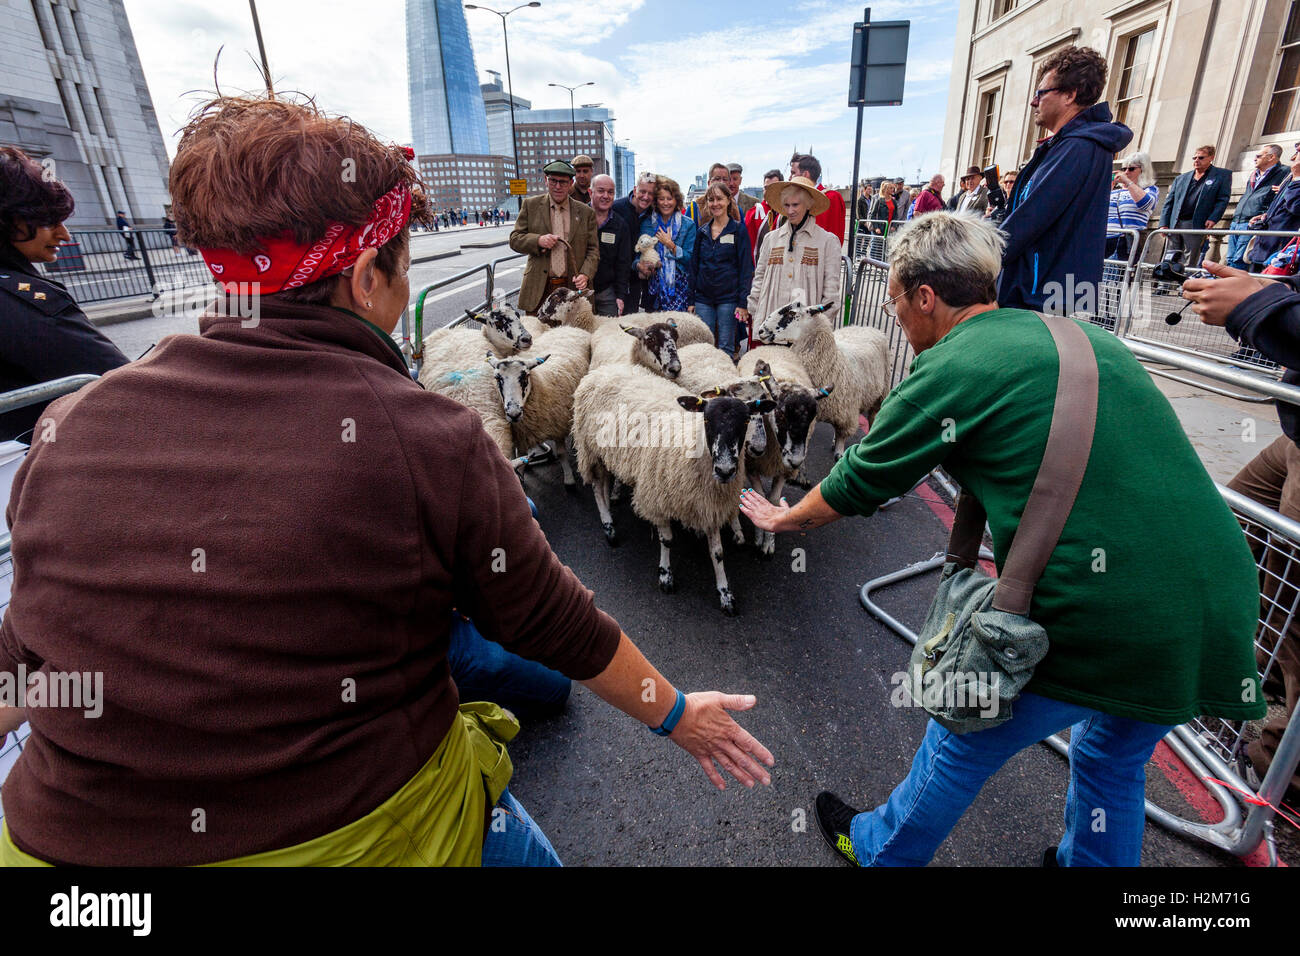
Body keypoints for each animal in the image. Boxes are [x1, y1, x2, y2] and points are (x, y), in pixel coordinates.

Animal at [572, 361, 769, 616]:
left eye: (745, 421)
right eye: (707, 420)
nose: (725, 470)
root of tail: (602, 370)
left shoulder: (709, 504)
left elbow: (717, 552)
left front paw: (725, 594)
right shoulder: (657, 497)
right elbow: (666, 540)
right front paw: (665, 576)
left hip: (606, 454)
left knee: (604, 484)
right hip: (591, 449)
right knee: (597, 487)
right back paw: (609, 526)